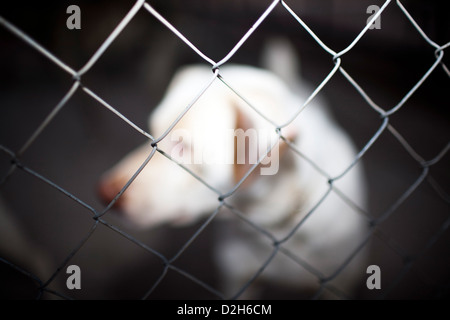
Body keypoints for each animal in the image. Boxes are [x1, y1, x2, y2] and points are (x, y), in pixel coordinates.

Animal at [99, 41, 370, 298]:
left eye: (184, 147)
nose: (104, 193)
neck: (273, 223)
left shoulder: (339, 282)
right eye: (153, 133)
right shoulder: (237, 282)